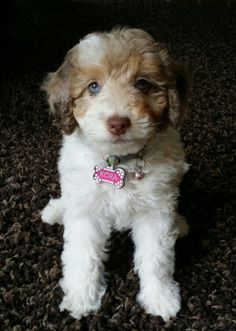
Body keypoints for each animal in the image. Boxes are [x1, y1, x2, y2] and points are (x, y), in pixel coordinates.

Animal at [40, 27, 189, 322]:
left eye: (142, 84)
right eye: (93, 87)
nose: (118, 123)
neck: (118, 161)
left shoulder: (156, 211)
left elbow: (156, 257)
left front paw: (161, 297)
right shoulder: (86, 211)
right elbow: (83, 256)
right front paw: (81, 298)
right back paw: (56, 210)